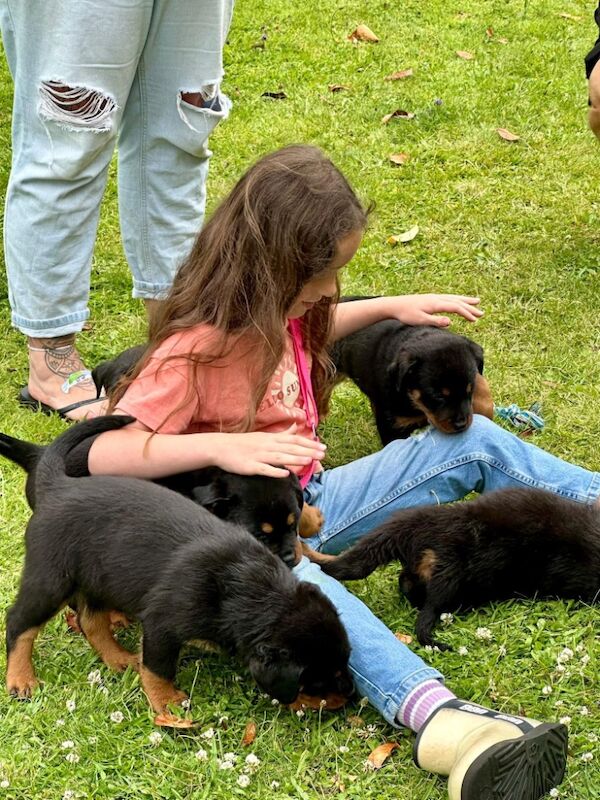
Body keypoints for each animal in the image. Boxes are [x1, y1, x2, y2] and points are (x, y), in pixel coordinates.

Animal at [4, 416, 352, 720]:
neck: (247, 588)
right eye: (321, 678)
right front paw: (167, 703)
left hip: (101, 575)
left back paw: (117, 657)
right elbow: (157, 668)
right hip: (52, 578)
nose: (350, 694)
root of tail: (57, 484)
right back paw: (21, 678)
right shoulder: (162, 624)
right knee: (19, 621)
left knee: (90, 620)